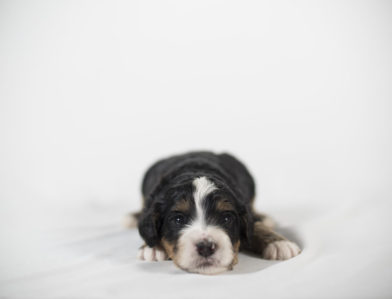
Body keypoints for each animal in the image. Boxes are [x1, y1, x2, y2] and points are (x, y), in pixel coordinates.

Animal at [125, 151, 300, 276]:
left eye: (227, 218)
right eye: (178, 219)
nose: (206, 247)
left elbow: (256, 226)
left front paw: (278, 243)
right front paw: (153, 248)